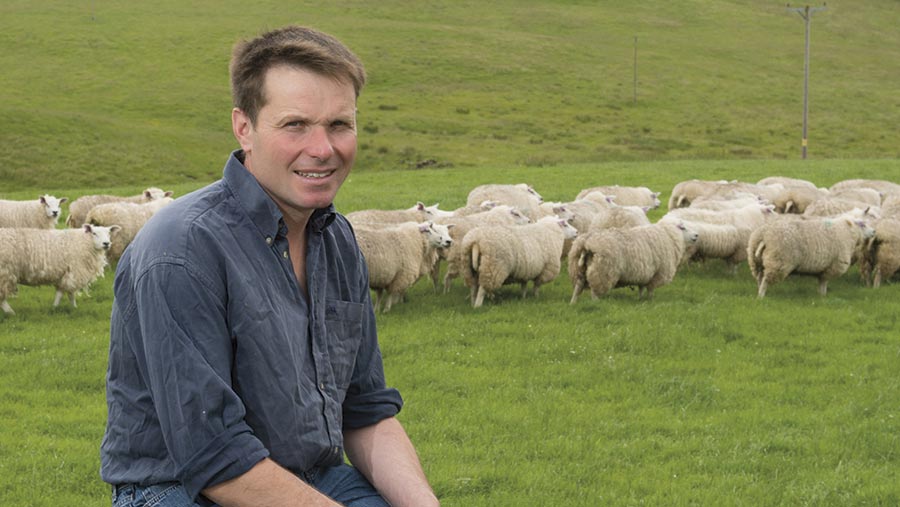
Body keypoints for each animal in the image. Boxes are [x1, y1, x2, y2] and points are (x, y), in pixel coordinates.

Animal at [568, 220, 696, 304]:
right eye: (683, 228)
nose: (696, 235)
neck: (669, 236)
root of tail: (586, 242)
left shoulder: (644, 275)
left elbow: (641, 288)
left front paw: (640, 299)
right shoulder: (657, 274)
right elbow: (650, 290)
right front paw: (650, 300)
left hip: (579, 269)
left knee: (577, 287)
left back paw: (573, 303)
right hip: (602, 271)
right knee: (594, 291)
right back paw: (596, 303)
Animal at [748, 213, 876, 298]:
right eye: (862, 224)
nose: (874, 231)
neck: (846, 232)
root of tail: (764, 236)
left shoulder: (823, 269)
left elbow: (821, 282)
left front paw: (821, 296)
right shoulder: (831, 267)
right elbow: (824, 283)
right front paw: (823, 296)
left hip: (756, 262)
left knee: (760, 278)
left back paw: (760, 292)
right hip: (778, 261)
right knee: (765, 280)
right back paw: (761, 296)